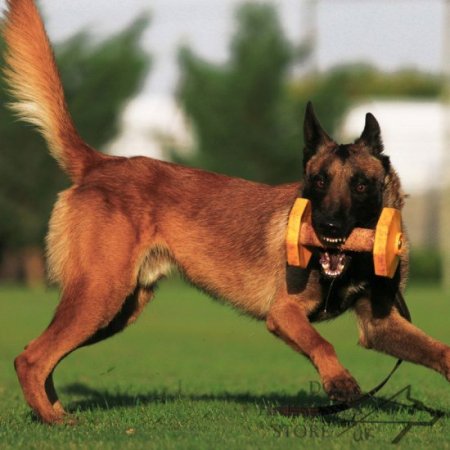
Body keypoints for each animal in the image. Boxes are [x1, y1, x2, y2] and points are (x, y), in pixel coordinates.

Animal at [3, 0, 450, 424]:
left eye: (360, 185)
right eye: (318, 181)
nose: (327, 227)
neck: (352, 261)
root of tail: (99, 164)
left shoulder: (381, 324)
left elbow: (440, 351)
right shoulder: (284, 314)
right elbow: (321, 342)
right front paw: (339, 383)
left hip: (118, 309)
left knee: (38, 353)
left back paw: (52, 411)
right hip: (100, 296)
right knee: (29, 358)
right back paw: (53, 420)